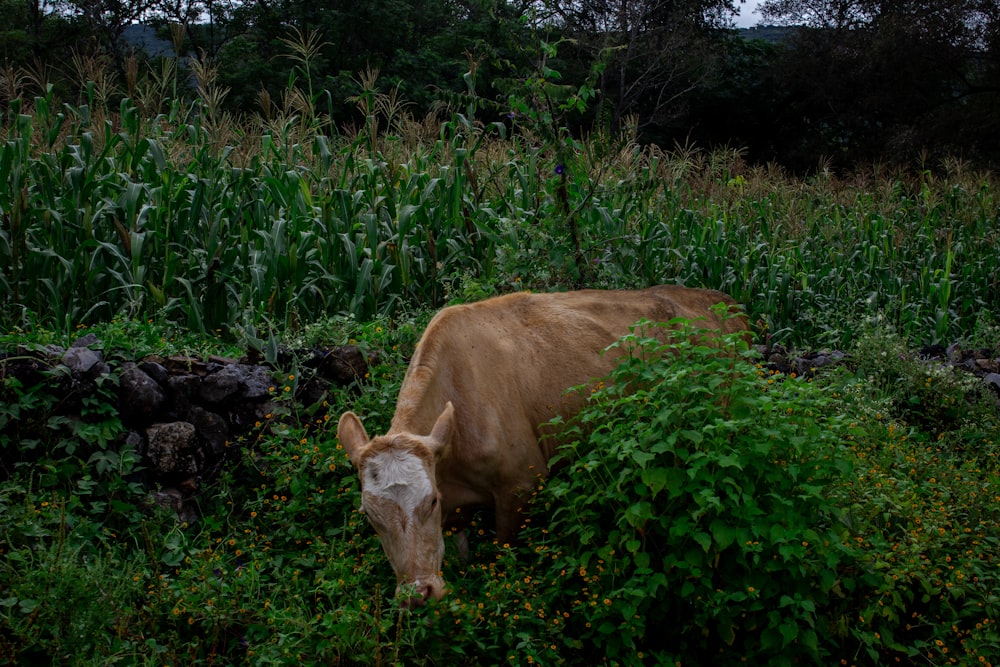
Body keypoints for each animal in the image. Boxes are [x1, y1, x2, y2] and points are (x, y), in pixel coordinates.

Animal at [340, 286, 748, 604]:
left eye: (431, 502)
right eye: (370, 517)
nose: (418, 594)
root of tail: (724, 302)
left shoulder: (521, 485)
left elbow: (504, 556)